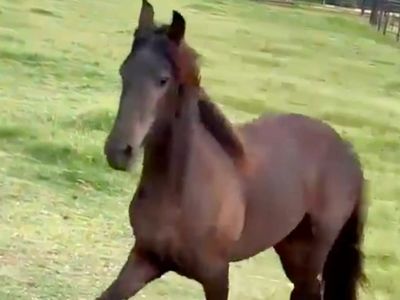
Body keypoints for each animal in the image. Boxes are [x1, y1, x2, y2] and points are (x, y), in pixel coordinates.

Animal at [98, 1, 368, 298]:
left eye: (163, 80)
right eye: (124, 72)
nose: (119, 151)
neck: (180, 195)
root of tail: (348, 152)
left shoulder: (217, 275)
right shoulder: (146, 259)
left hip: (310, 255)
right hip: (289, 247)